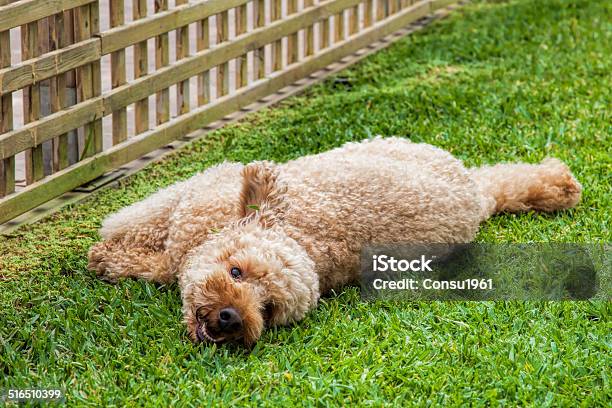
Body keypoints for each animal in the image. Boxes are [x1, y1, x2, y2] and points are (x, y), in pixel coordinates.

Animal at [88, 137, 580, 344]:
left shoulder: (187, 219)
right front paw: (113, 236)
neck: (308, 237)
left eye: (268, 308)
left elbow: (153, 257)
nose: (230, 317)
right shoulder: (198, 193)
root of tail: (475, 197)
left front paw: (108, 255)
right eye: (235, 271)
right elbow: (142, 220)